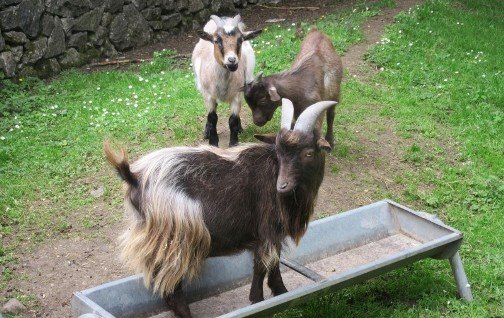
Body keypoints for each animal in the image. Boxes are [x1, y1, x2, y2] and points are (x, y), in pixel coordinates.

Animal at [104, 99, 336, 318]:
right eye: (278, 153)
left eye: (308, 153)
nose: (282, 187)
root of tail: (134, 177)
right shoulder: (267, 230)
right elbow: (263, 266)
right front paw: (258, 300)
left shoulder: (272, 235)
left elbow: (274, 266)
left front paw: (281, 293)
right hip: (177, 237)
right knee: (171, 287)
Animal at [192, 15, 262, 147]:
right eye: (216, 41)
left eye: (240, 40)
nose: (232, 60)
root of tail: (225, 18)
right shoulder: (209, 96)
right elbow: (212, 118)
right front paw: (213, 143)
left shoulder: (236, 95)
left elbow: (232, 120)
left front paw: (234, 143)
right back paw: (206, 132)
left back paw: (240, 129)